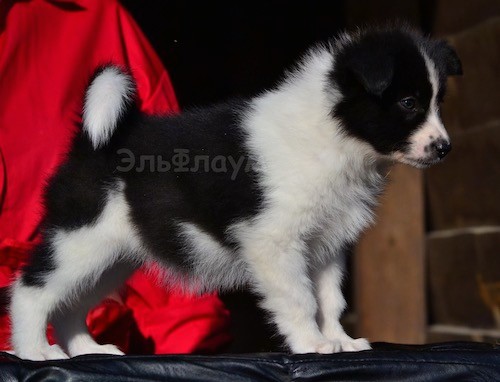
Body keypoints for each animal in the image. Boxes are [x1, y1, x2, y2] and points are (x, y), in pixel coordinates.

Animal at [10, 25, 460, 360]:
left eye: (438, 102)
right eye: (408, 102)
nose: (444, 148)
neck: (334, 134)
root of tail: (91, 142)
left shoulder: (326, 244)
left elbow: (329, 299)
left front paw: (340, 342)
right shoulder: (275, 243)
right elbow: (300, 298)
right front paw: (312, 344)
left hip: (112, 257)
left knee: (72, 303)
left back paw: (89, 351)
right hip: (79, 239)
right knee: (31, 290)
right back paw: (36, 353)